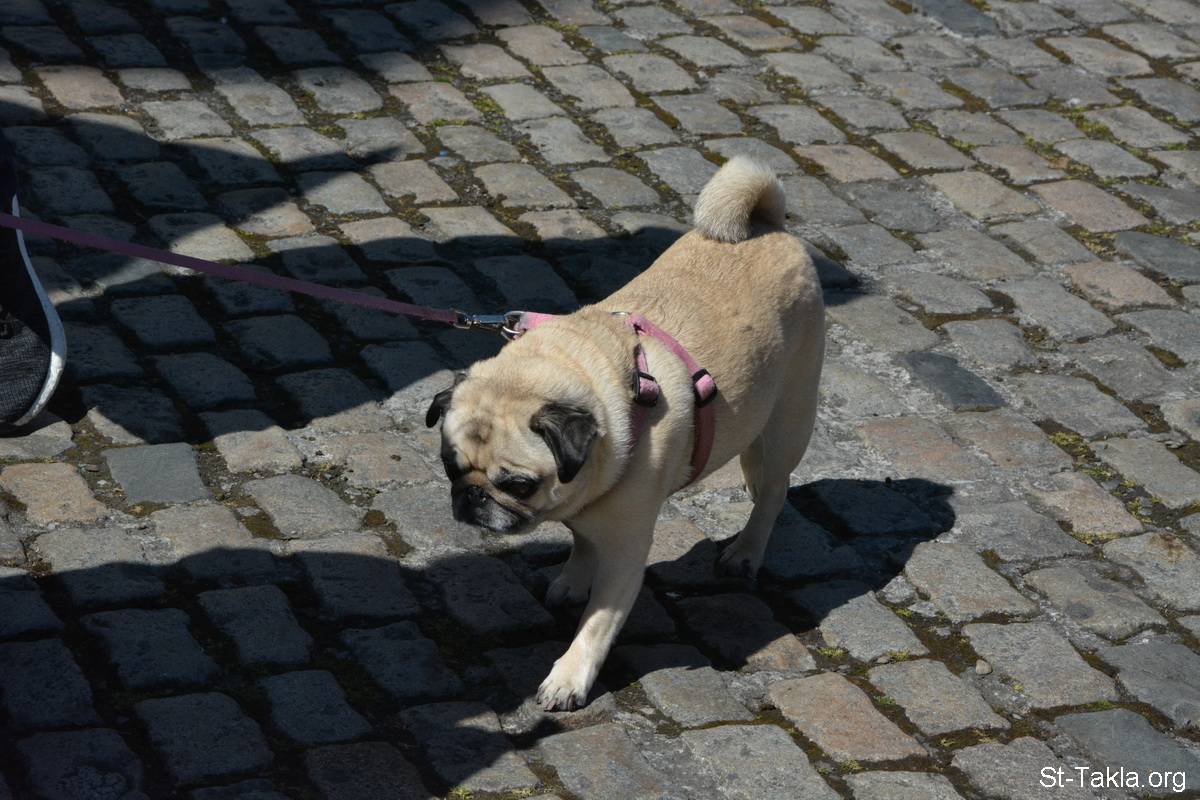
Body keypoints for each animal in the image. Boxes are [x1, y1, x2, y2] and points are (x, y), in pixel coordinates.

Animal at [426, 156, 825, 710]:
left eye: (519, 485)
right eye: (450, 466)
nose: (472, 498)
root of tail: (767, 226)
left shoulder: (626, 552)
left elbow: (596, 624)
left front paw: (569, 679)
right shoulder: (585, 505)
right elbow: (581, 543)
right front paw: (572, 580)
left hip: (790, 416)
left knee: (774, 490)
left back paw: (746, 551)